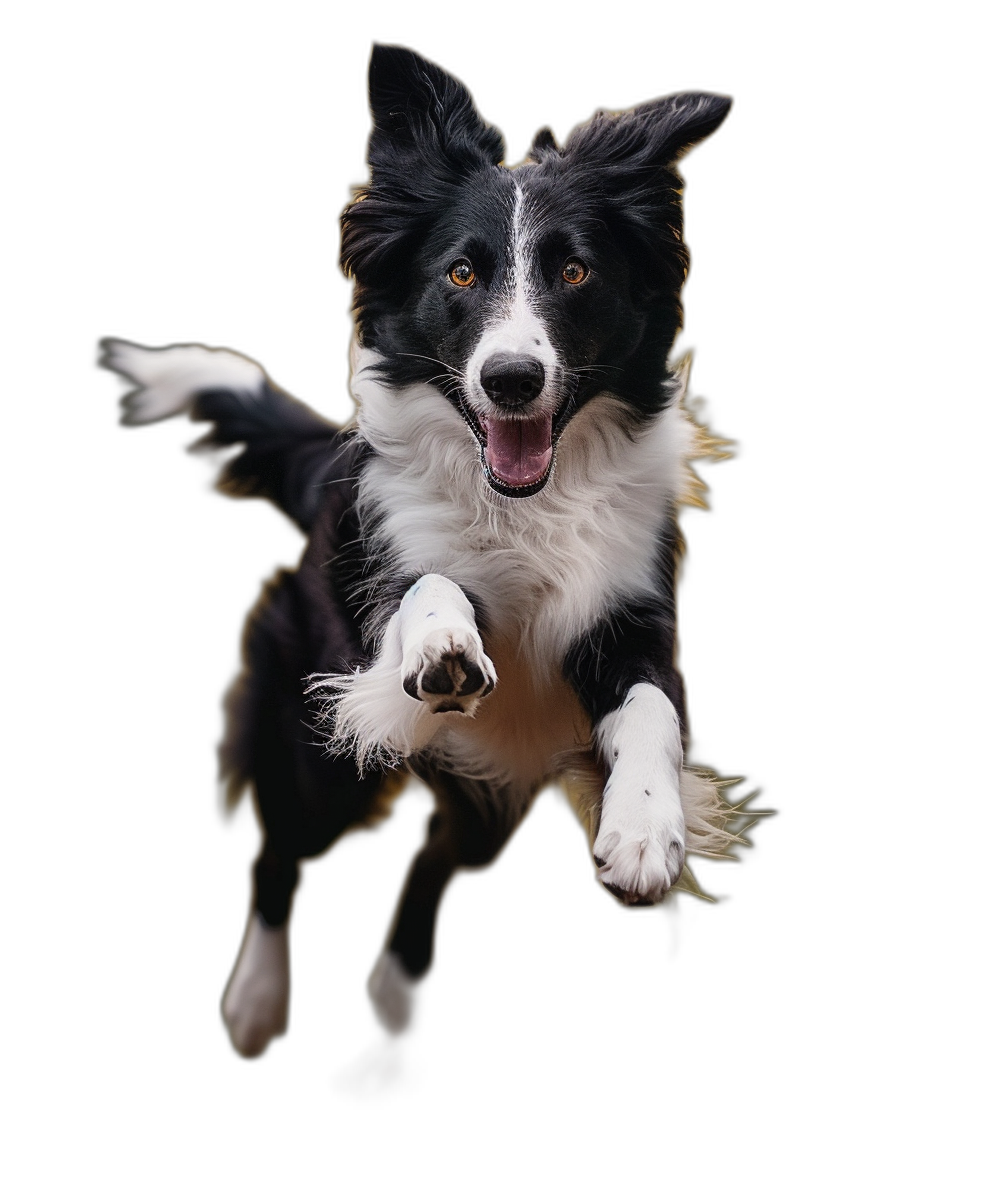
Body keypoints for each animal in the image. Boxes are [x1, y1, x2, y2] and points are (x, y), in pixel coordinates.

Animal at [106, 46, 743, 1060]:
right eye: (461, 273)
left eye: (575, 271)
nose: (512, 379)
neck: (526, 503)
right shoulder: (379, 598)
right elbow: (429, 585)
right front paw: (447, 645)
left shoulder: (634, 617)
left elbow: (653, 707)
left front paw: (646, 831)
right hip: (317, 743)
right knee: (280, 849)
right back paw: (256, 1002)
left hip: (485, 784)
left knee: (444, 850)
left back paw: (400, 990)